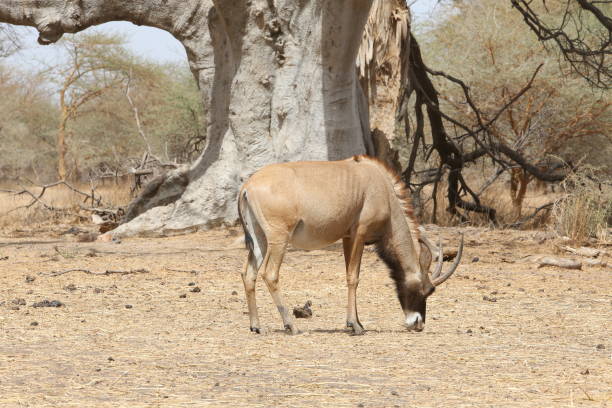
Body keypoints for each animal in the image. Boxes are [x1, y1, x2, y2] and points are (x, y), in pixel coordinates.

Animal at [239, 155, 464, 334]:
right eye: (427, 289)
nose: (417, 324)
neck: (383, 188)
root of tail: (247, 186)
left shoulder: (347, 237)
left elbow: (350, 274)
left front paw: (357, 322)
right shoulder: (360, 233)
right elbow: (353, 277)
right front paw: (354, 326)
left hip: (260, 239)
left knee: (248, 273)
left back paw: (256, 326)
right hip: (279, 239)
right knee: (270, 274)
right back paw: (291, 326)